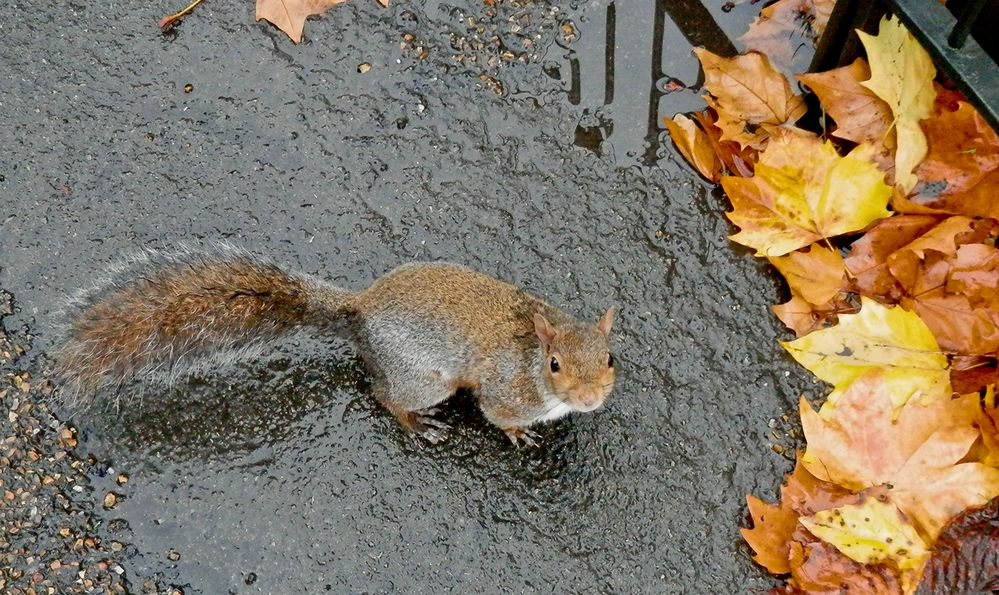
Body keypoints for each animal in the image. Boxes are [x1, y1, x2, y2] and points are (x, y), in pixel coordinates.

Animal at [54, 244, 620, 444]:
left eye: (610, 358)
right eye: (554, 365)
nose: (592, 399)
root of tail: (361, 313)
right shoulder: (505, 391)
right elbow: (499, 415)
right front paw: (519, 435)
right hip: (423, 379)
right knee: (383, 395)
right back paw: (417, 422)